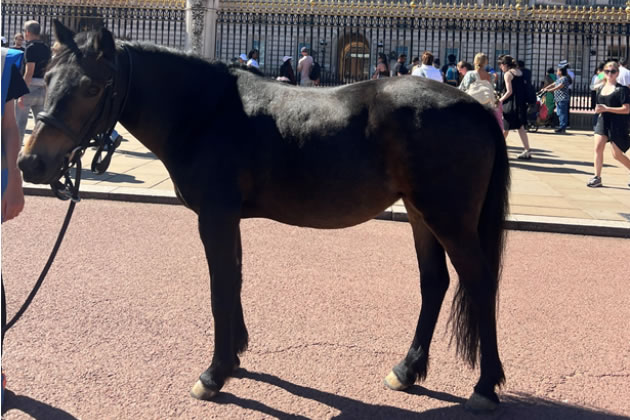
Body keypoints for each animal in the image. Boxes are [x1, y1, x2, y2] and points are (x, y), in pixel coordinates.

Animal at [18, 21, 512, 412]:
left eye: (91, 87)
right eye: (48, 75)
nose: (30, 163)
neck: (203, 113)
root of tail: (475, 107)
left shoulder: (215, 215)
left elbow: (220, 286)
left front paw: (214, 373)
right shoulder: (229, 217)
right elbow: (234, 278)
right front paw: (234, 357)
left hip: (449, 217)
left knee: (480, 281)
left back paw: (485, 386)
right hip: (419, 211)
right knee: (435, 282)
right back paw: (407, 370)